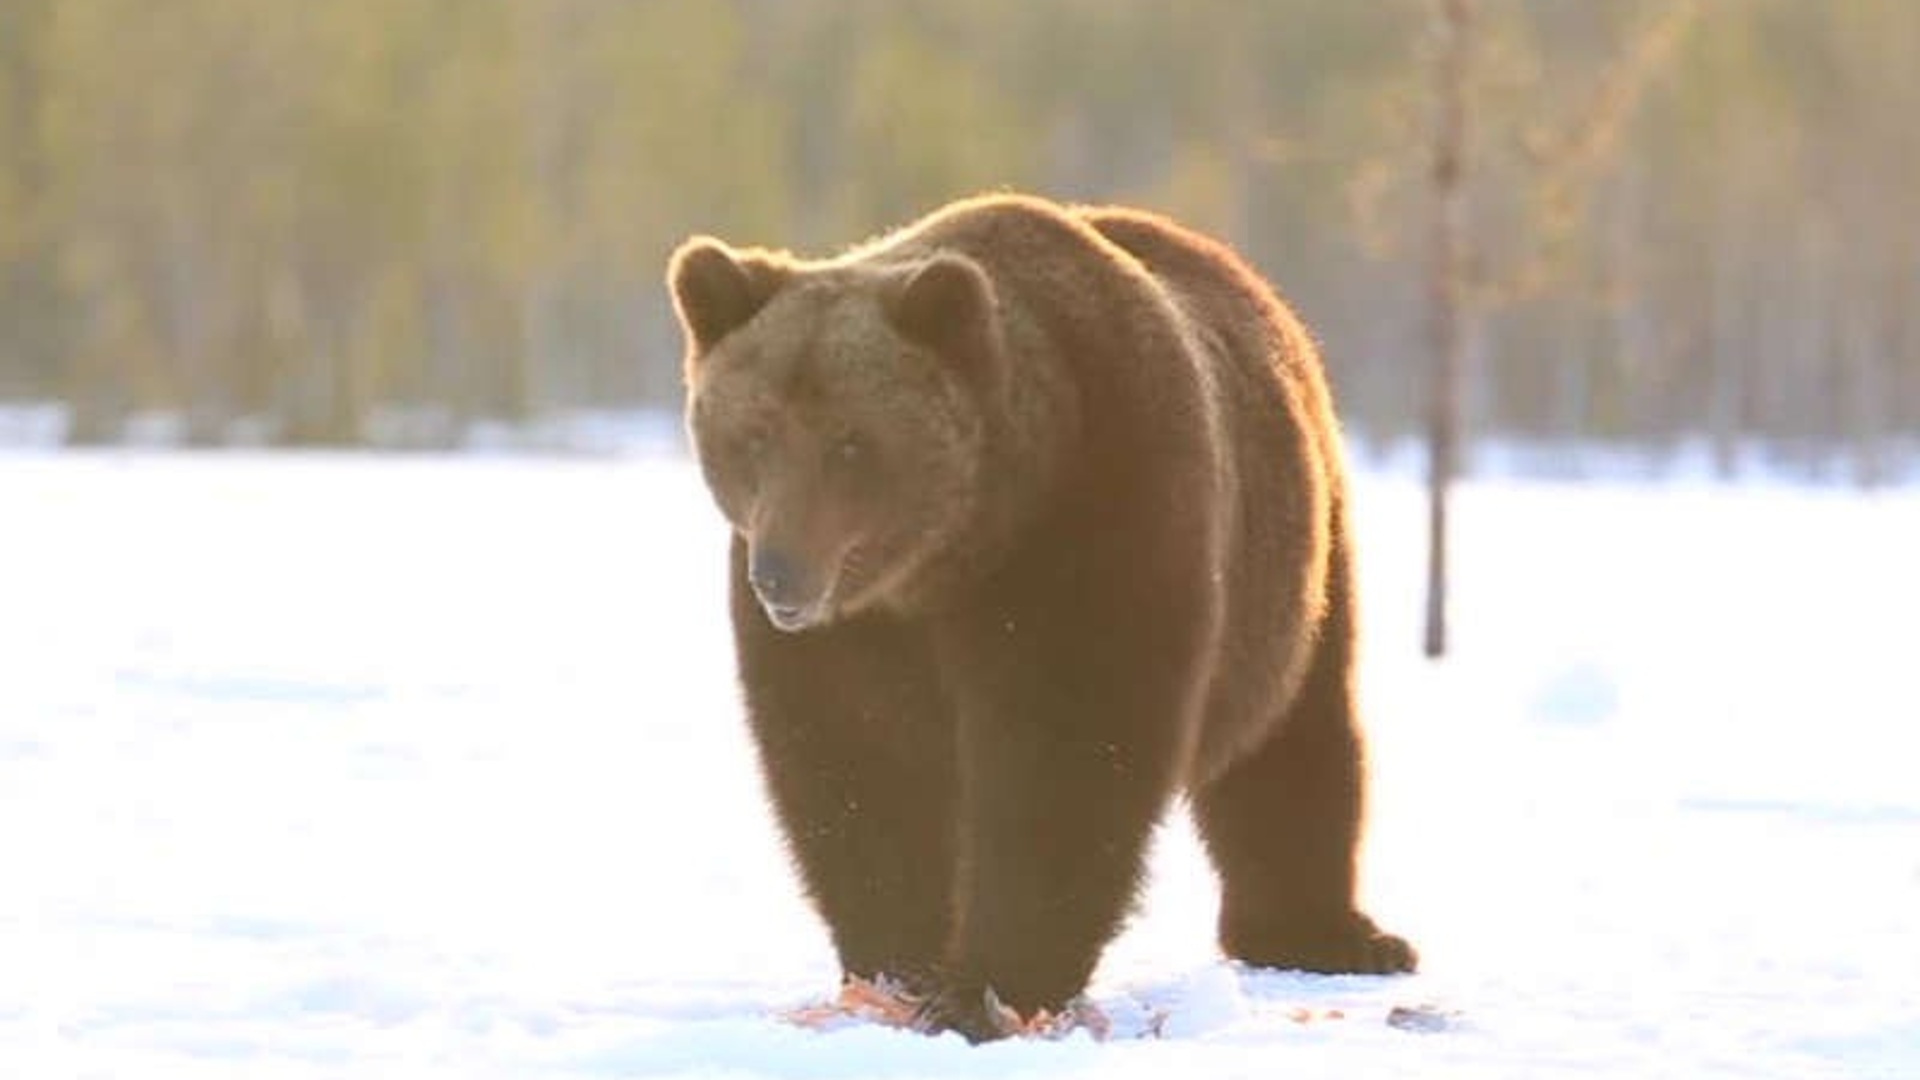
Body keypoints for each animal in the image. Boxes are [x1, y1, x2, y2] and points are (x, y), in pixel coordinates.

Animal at [672, 191, 1413, 1037]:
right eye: (754, 433)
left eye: (851, 443)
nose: (781, 574)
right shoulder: (851, 637)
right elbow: (859, 766)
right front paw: (899, 963)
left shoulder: (1090, 533)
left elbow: (1064, 760)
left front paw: (986, 987)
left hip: (1294, 561)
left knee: (1297, 736)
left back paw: (1329, 934)